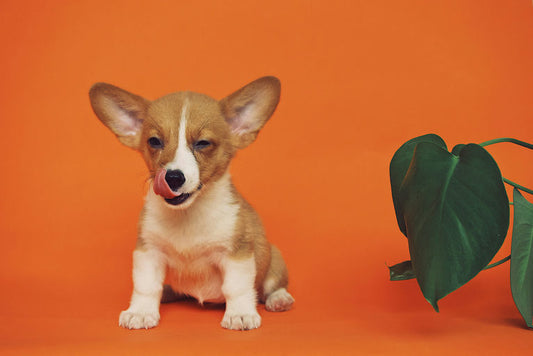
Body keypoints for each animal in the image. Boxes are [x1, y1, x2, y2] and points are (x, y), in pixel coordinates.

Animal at [89, 76, 294, 330]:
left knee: (271, 285)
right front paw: (141, 312)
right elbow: (146, 287)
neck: (187, 215)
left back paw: (279, 299)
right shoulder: (148, 251)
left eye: (203, 143)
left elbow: (236, 288)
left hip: (274, 258)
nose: (173, 177)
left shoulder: (237, 254)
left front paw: (240, 314)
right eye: (154, 141)